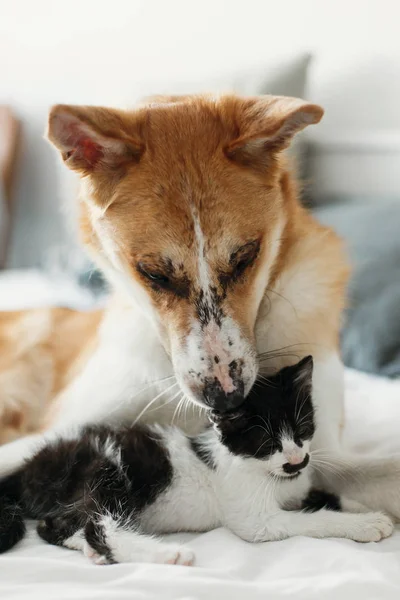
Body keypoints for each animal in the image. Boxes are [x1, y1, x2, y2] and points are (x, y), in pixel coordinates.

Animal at [0, 354, 394, 564]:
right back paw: (164, 556)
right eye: (266, 440)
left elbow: (320, 497)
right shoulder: (255, 520)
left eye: (302, 427)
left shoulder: (297, 483)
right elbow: (310, 519)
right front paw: (366, 523)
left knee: (54, 524)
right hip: (106, 467)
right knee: (96, 524)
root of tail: (32, 466)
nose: (298, 458)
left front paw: (364, 507)